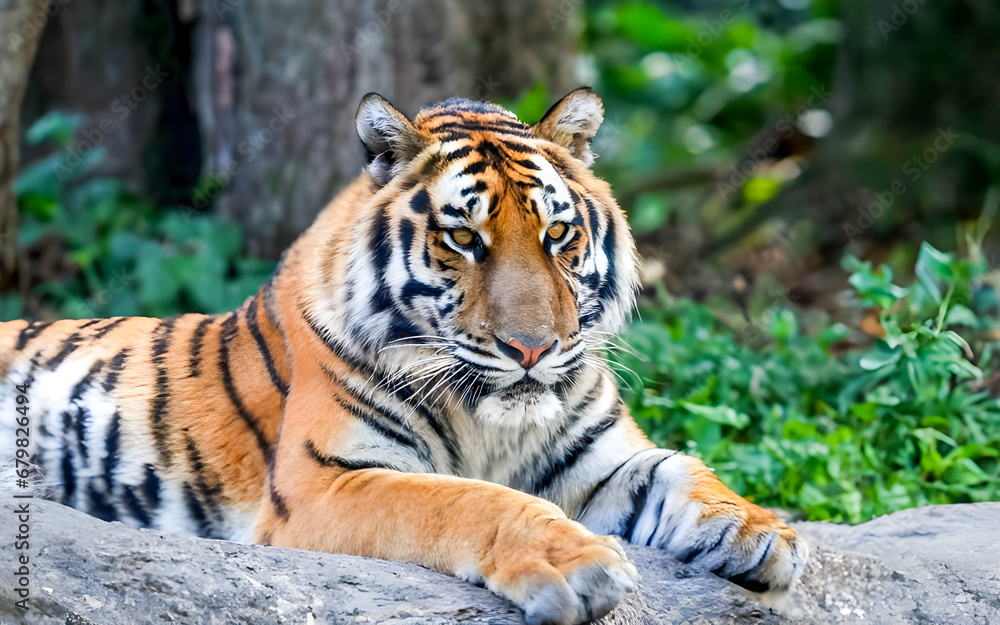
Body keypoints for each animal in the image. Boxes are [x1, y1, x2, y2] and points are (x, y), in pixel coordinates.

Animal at [0, 88, 806, 625]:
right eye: (464, 238)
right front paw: (575, 563)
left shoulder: (601, 455)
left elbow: (686, 466)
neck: (490, 419)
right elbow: (469, 499)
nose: (533, 348)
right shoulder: (324, 482)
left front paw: (762, 533)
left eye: (557, 234)